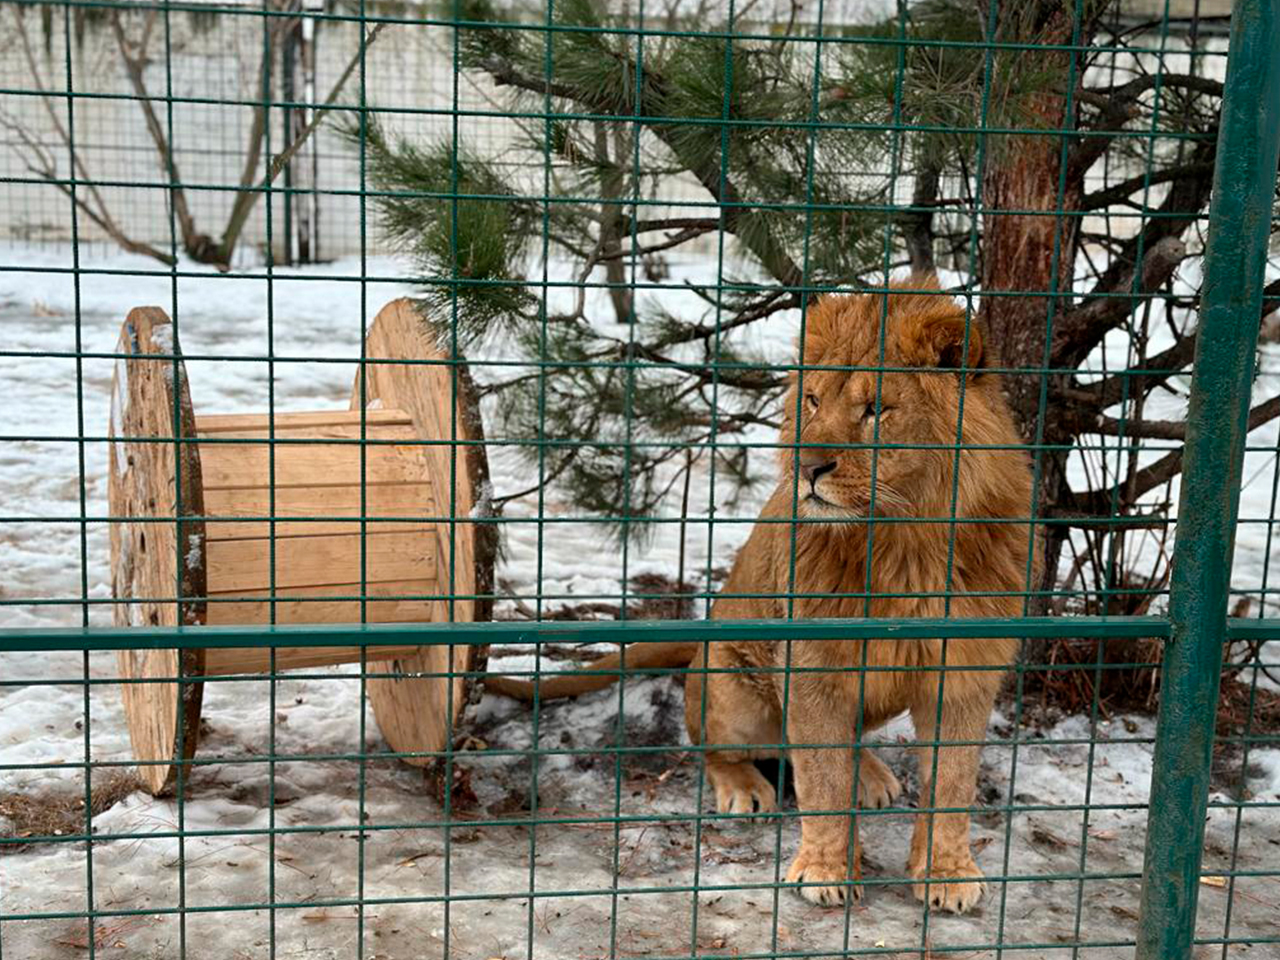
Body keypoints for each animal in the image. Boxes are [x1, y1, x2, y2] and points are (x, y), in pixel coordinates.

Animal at [483, 280, 1034, 916]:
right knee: (720, 747)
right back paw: (747, 787)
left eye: (876, 409)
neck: (904, 543)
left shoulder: (965, 668)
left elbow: (952, 781)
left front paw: (945, 873)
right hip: (734, 687)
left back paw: (869, 774)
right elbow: (820, 778)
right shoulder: (813, 667)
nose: (809, 466)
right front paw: (824, 871)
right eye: (813, 401)